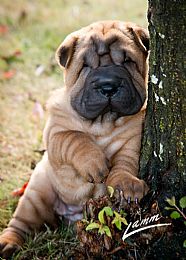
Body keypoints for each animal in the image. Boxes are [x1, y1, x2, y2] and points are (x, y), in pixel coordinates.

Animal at [0, 20, 149, 258]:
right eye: (85, 66)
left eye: (127, 61)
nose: (108, 85)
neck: (102, 123)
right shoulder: (54, 134)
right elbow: (74, 138)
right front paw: (95, 163)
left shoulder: (133, 139)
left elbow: (125, 163)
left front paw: (127, 185)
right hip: (37, 192)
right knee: (21, 222)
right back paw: (7, 243)